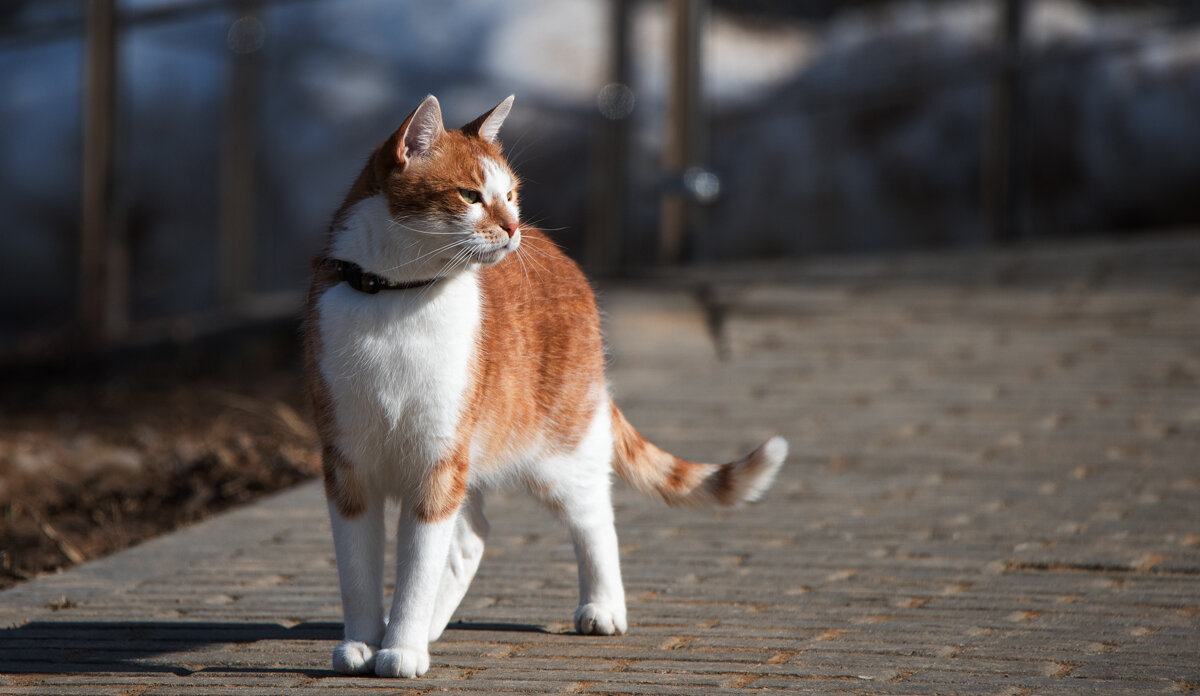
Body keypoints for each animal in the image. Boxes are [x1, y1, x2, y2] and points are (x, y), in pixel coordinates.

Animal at [302, 95, 787, 676]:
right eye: (470, 195)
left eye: (510, 194)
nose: (512, 227)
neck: (398, 298)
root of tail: (558, 253)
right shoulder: (347, 467)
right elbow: (358, 568)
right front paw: (363, 641)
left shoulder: (438, 463)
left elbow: (418, 567)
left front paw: (402, 647)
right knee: (472, 536)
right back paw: (435, 625)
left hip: (557, 452)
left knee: (594, 517)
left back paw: (600, 606)